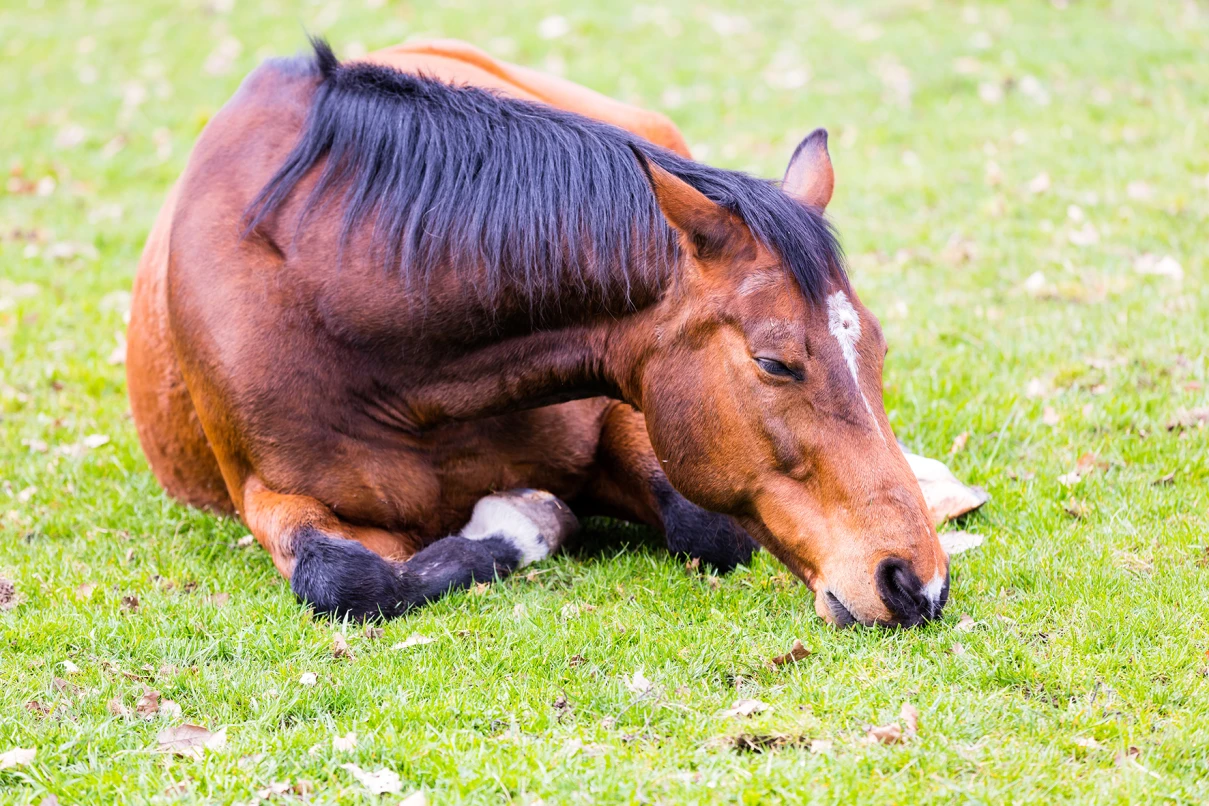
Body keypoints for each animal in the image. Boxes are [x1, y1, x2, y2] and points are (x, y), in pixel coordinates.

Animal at [127, 38, 948, 628]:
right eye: (775, 362)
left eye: (876, 350)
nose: (918, 582)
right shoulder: (268, 497)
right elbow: (346, 580)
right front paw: (522, 516)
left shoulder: (624, 408)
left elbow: (706, 527)